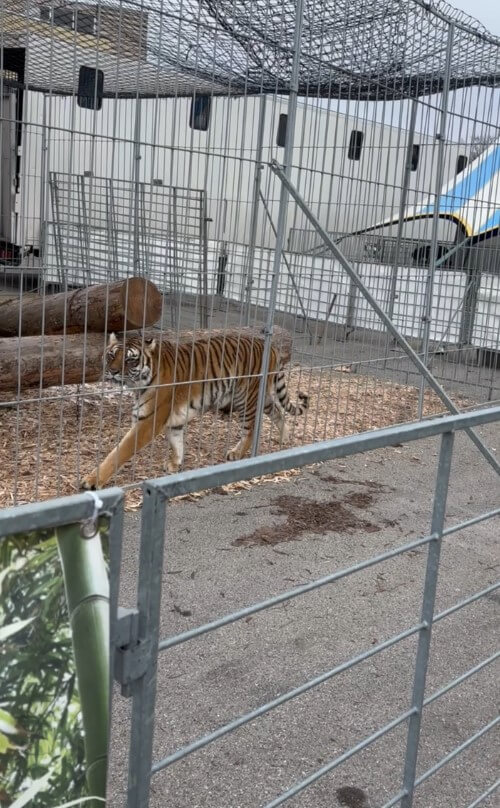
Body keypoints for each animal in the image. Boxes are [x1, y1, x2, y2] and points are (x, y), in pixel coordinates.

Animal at [81, 331, 309, 490]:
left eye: (130, 359)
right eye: (111, 355)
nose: (112, 372)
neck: (139, 383)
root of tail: (269, 345)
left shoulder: (148, 421)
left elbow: (119, 451)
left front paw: (92, 480)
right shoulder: (172, 419)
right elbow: (177, 442)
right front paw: (175, 465)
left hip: (246, 398)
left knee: (251, 429)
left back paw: (237, 453)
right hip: (263, 397)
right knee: (277, 411)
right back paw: (284, 438)